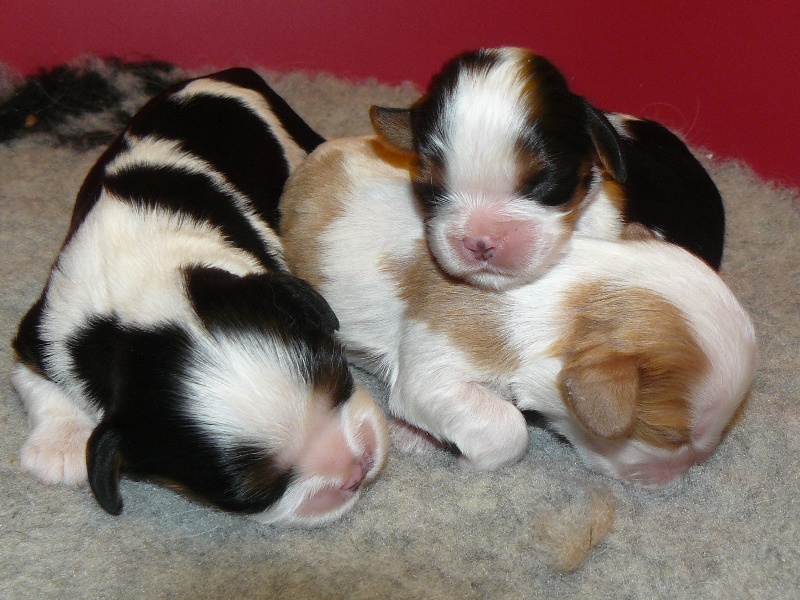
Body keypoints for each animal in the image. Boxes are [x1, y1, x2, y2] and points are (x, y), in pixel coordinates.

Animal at [10, 68, 388, 524]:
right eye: (253, 493)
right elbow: (31, 372)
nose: (358, 468)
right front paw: (60, 447)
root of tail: (224, 73)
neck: (142, 288)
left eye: (340, 380)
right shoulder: (48, 325)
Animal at [282, 136, 756, 482]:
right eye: (668, 435)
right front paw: (463, 459)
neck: (568, 291)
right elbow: (507, 427)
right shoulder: (434, 370)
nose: (686, 471)